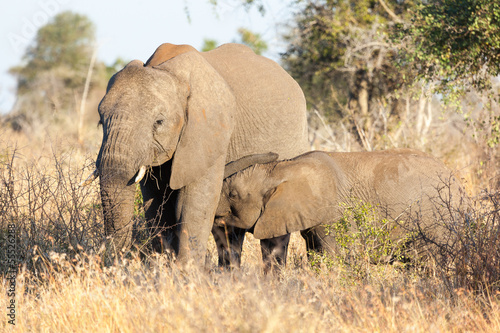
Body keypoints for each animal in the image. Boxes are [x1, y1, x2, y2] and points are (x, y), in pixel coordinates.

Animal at [86, 42, 308, 266]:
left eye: (159, 122)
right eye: (101, 121)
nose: (117, 261)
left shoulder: (209, 133)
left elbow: (192, 203)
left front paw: (185, 272)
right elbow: (156, 203)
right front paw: (162, 266)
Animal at [215, 148, 464, 268]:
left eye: (233, 195)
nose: (272, 153)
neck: (283, 167)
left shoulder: (334, 214)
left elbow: (334, 257)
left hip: (437, 226)